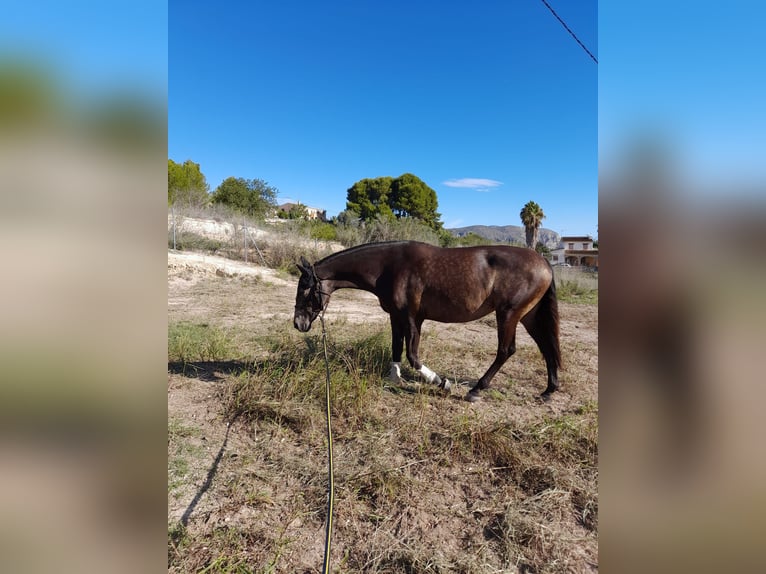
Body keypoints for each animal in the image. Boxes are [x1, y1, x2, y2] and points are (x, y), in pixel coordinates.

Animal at [294, 241, 564, 402]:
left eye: (305, 289)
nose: (298, 323)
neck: (389, 266)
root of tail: (544, 262)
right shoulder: (396, 316)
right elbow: (396, 348)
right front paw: (394, 378)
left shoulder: (412, 318)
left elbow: (413, 356)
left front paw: (441, 382)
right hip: (527, 315)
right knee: (546, 347)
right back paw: (548, 390)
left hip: (508, 314)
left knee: (506, 350)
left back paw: (476, 389)